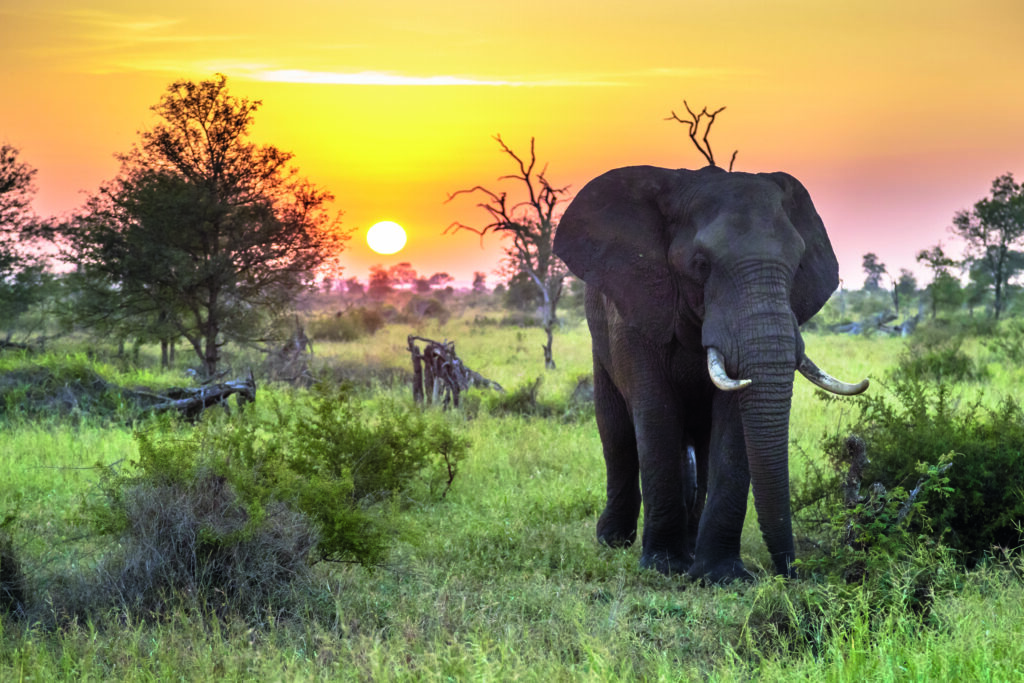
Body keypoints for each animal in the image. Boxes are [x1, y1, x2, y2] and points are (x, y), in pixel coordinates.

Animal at [552, 165, 868, 582]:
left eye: (798, 263)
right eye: (701, 264)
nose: (793, 571)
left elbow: (732, 425)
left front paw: (721, 576)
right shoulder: (637, 308)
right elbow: (656, 413)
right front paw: (664, 567)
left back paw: (690, 546)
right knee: (616, 433)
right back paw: (614, 541)